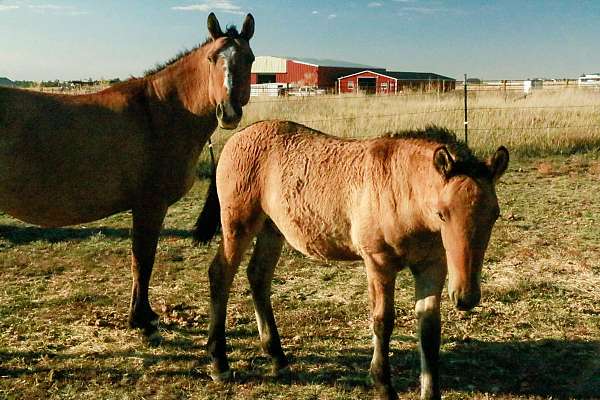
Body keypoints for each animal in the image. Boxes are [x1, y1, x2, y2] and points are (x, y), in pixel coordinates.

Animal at [197, 122, 506, 400]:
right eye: (442, 213)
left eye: (495, 214)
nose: (466, 297)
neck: (402, 191)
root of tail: (237, 136)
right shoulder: (378, 262)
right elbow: (383, 321)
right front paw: (382, 385)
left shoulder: (433, 266)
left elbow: (429, 329)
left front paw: (430, 392)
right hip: (238, 224)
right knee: (220, 274)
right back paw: (219, 364)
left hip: (272, 230)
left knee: (258, 276)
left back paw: (278, 359)